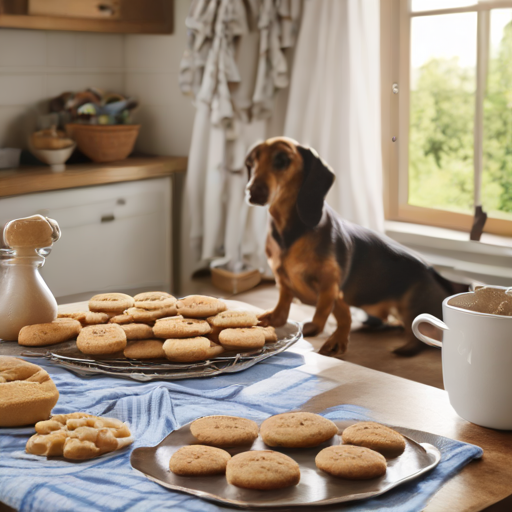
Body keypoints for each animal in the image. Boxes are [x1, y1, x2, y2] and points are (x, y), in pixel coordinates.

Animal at [246, 136, 466, 356]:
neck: (290, 233)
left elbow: (328, 314)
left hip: (411, 306)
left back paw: (406, 348)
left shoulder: (331, 285)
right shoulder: (283, 280)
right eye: (251, 162)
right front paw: (272, 319)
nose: (252, 192)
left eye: (282, 160)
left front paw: (330, 337)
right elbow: (283, 307)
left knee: (424, 335)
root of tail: (435, 273)